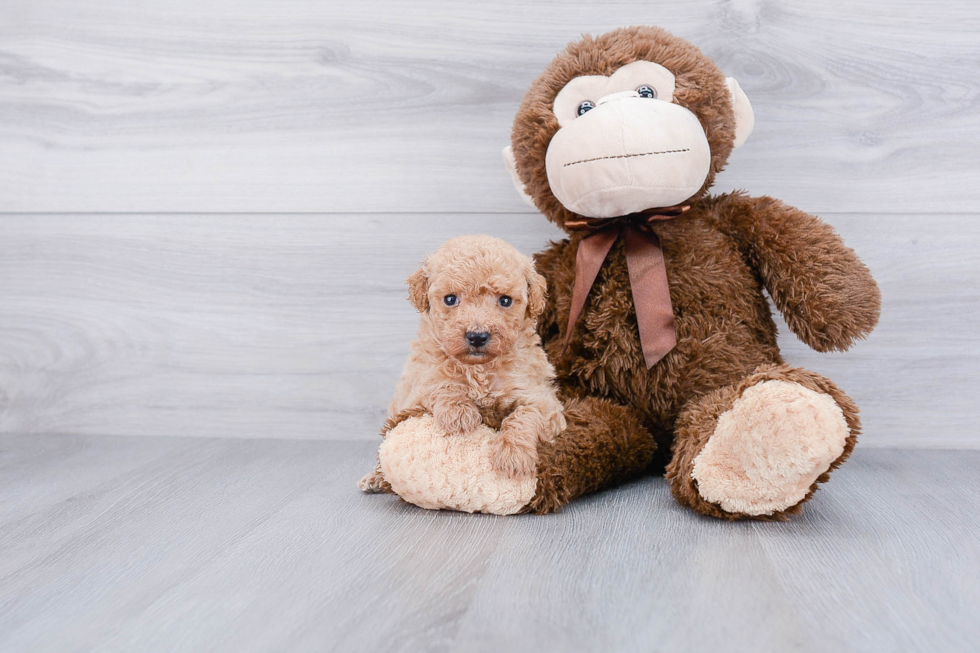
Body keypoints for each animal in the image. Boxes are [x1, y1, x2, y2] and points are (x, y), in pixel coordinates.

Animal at [358, 236, 568, 488]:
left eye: (505, 301)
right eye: (450, 299)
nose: (477, 336)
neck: (480, 369)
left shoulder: (543, 401)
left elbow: (525, 416)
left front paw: (512, 455)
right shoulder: (418, 389)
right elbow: (440, 385)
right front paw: (459, 413)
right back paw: (376, 477)